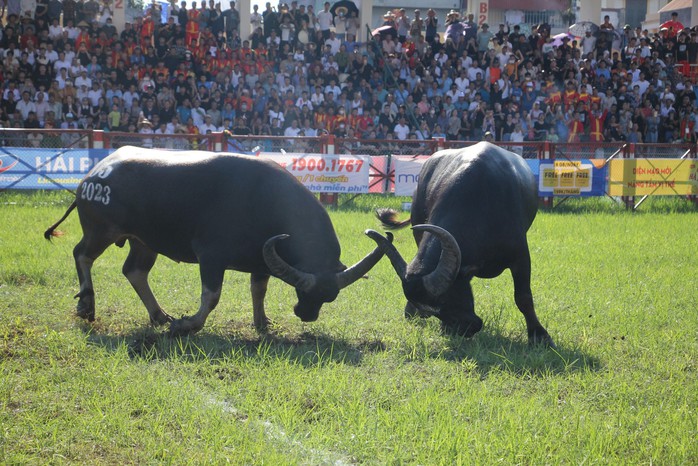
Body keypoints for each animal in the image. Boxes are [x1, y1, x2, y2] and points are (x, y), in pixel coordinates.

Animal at [46, 147, 388, 334]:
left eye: (328, 298)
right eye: (304, 291)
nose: (307, 314)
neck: (265, 201)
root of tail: (94, 174)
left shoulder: (261, 260)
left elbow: (258, 291)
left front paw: (262, 323)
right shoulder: (211, 257)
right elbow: (211, 296)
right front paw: (188, 325)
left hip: (143, 241)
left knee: (134, 271)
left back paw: (159, 316)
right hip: (100, 231)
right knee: (82, 255)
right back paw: (87, 304)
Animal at [368, 142, 552, 346]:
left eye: (444, 300)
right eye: (437, 311)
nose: (466, 328)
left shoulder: (520, 254)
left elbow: (523, 297)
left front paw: (539, 335)